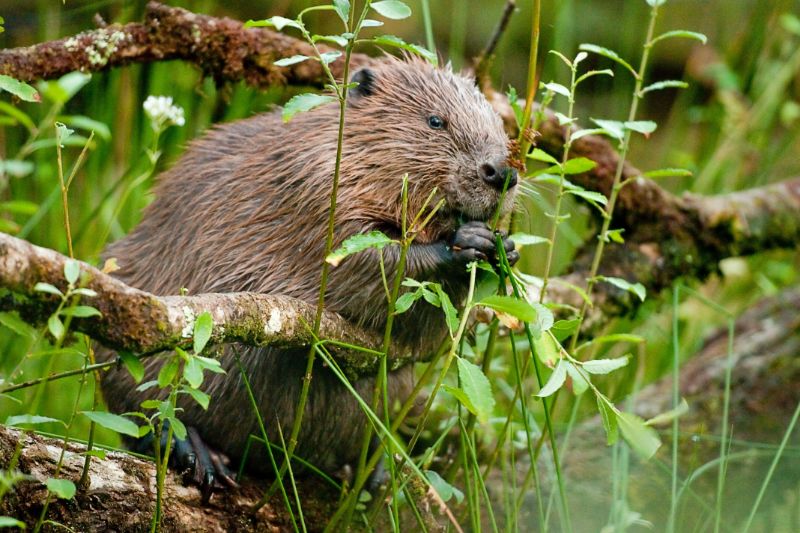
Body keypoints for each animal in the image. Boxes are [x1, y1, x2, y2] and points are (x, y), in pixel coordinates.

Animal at [97, 54, 520, 494]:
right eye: (436, 121)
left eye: (500, 125)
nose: (501, 172)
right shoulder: (316, 191)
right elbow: (362, 264)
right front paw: (465, 240)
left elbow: (426, 336)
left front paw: (505, 247)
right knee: (143, 411)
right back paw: (197, 452)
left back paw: (376, 471)